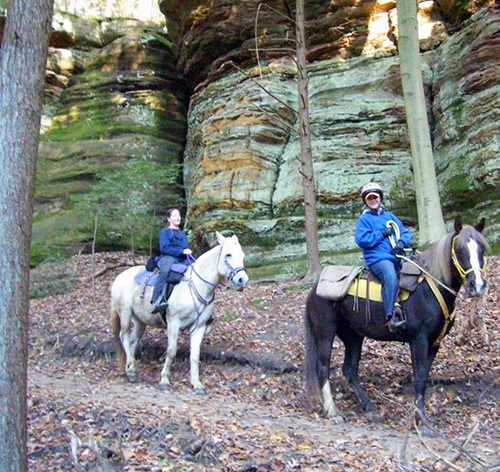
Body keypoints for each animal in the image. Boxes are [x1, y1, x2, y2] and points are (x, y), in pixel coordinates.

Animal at [111, 230, 248, 392]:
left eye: (242, 255)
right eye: (228, 255)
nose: (243, 280)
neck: (196, 285)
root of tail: (119, 276)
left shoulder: (199, 326)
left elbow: (195, 355)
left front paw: (196, 383)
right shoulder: (173, 322)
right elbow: (171, 351)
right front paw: (164, 381)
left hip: (140, 320)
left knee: (132, 341)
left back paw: (130, 369)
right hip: (125, 313)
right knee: (124, 336)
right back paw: (131, 370)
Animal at [304, 218, 488, 432]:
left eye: (482, 248)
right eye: (459, 250)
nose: (478, 285)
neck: (431, 287)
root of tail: (315, 289)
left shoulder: (435, 343)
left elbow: (423, 378)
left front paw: (421, 418)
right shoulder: (419, 341)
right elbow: (418, 380)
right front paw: (421, 421)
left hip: (353, 336)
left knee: (349, 370)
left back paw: (370, 407)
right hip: (325, 332)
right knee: (323, 367)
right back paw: (333, 411)